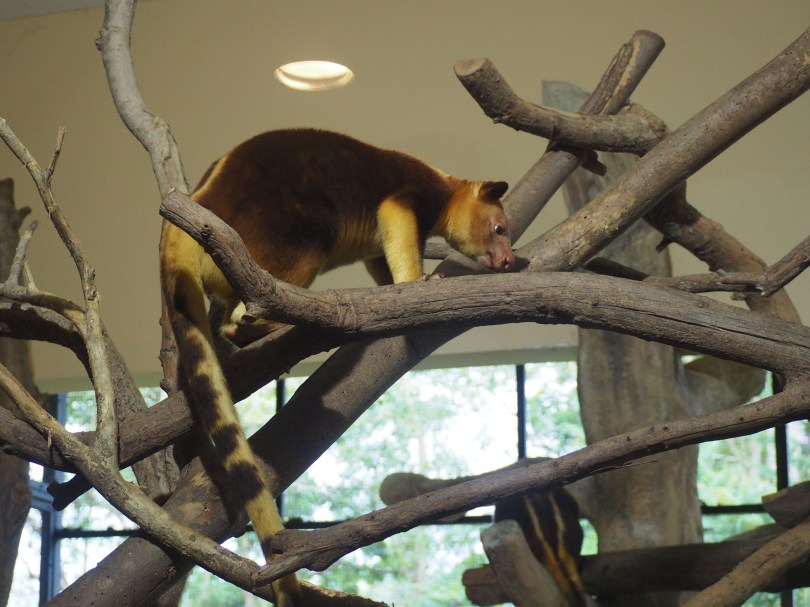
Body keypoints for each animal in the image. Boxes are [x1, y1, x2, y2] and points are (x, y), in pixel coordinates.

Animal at [160, 128, 514, 605]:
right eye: (499, 228)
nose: (508, 261)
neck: (447, 186)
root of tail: (198, 205)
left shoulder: (379, 244)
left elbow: (380, 258)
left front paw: (397, 285)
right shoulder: (409, 197)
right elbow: (396, 223)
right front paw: (418, 281)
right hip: (287, 236)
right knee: (254, 300)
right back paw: (273, 324)